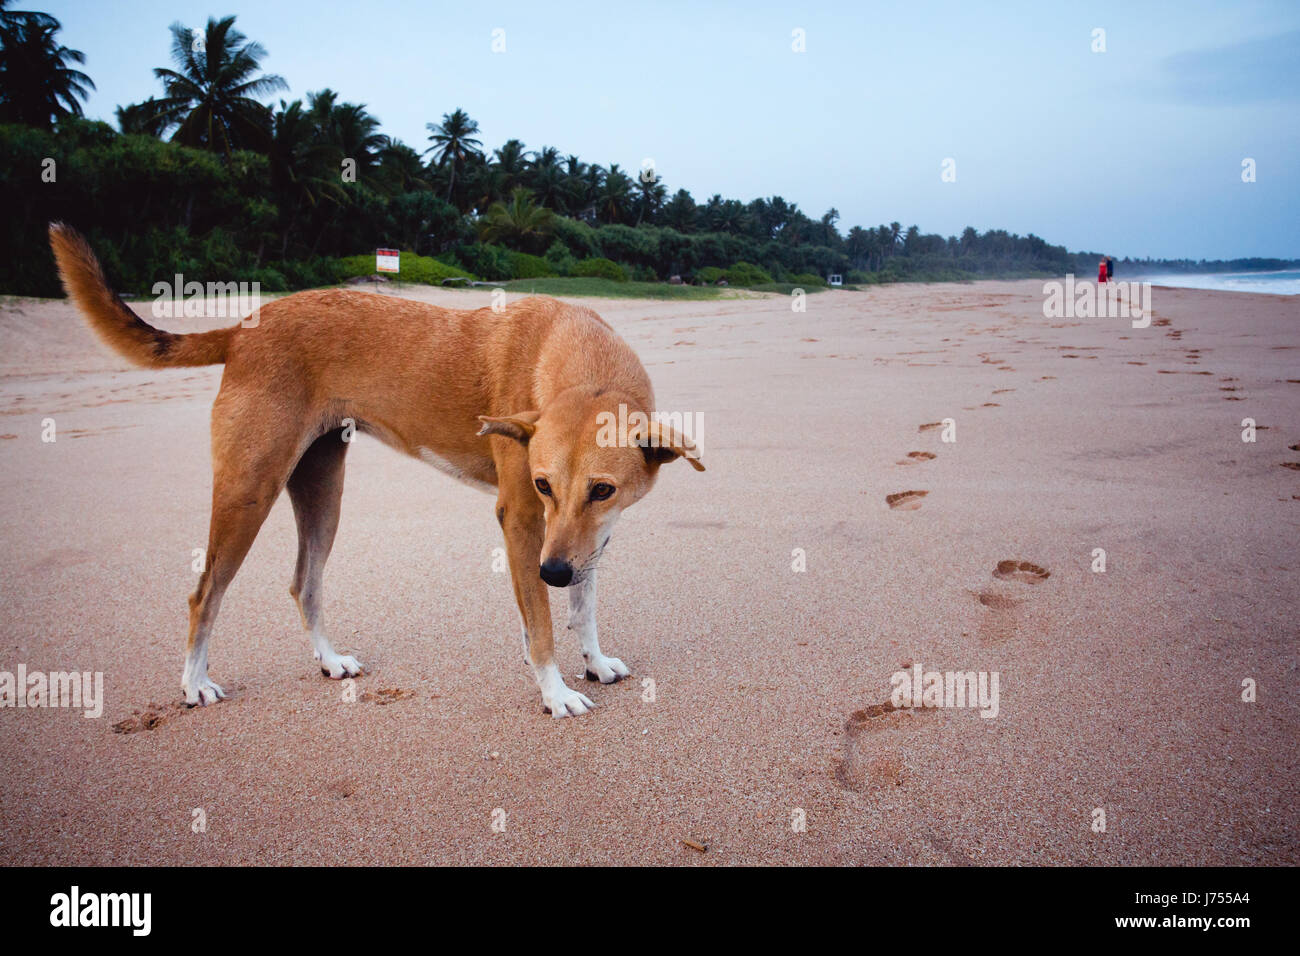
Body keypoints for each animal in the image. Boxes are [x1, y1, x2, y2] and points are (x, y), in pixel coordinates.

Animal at [48, 223, 702, 717]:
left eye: (604, 490)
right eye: (543, 485)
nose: (554, 572)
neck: (581, 363)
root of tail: (244, 327)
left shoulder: (586, 536)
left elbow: (579, 608)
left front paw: (592, 661)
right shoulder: (523, 520)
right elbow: (542, 622)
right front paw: (555, 690)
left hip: (323, 493)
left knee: (304, 583)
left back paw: (329, 661)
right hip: (247, 492)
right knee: (204, 593)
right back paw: (193, 684)